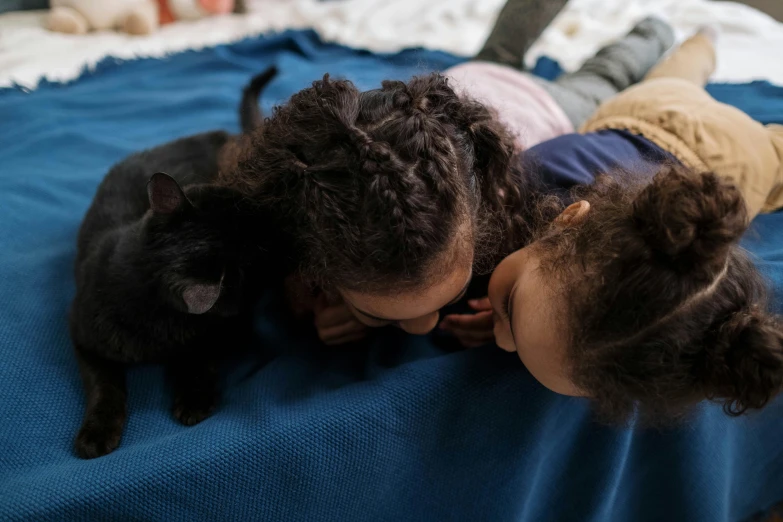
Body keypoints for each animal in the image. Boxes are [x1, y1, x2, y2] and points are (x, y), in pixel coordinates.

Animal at [69, 67, 278, 458]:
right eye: (256, 255)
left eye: (238, 202)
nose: (267, 214)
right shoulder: (82, 337)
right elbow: (103, 385)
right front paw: (97, 432)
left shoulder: (228, 331)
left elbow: (200, 358)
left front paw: (193, 399)